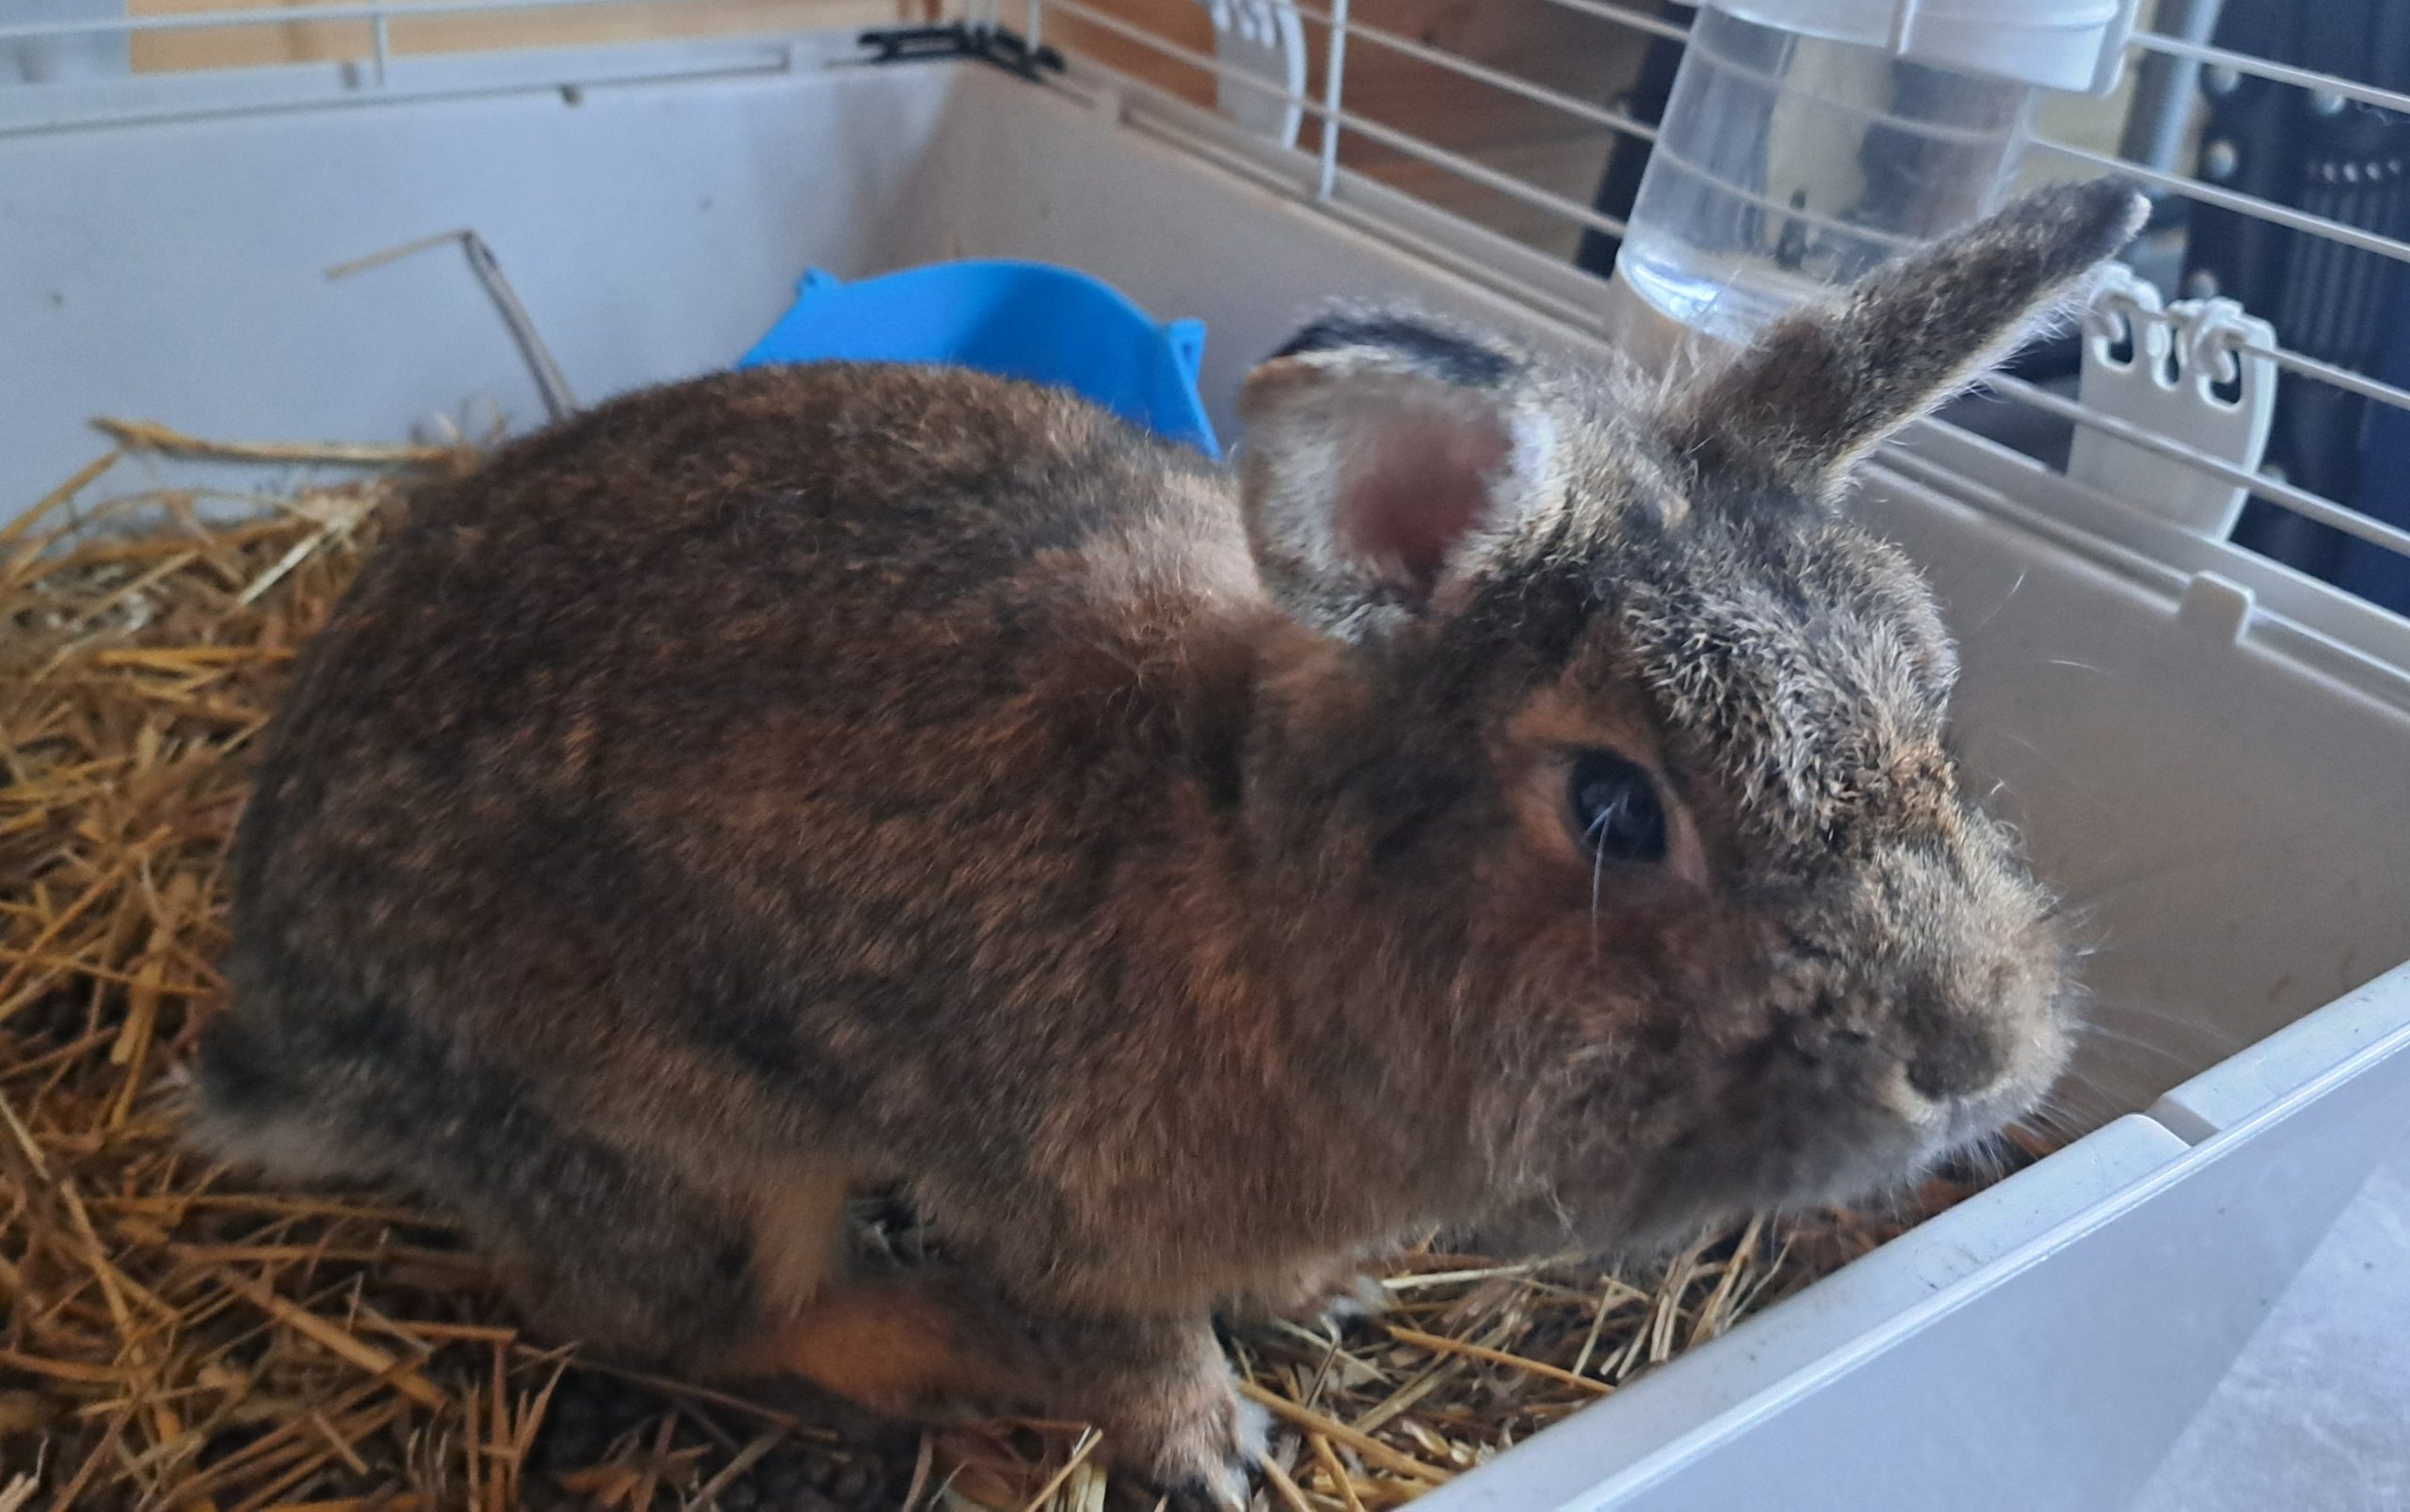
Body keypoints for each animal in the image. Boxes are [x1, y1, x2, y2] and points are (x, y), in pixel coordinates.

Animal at [192, 177, 2146, 1506]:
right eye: (1614, 808)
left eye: (1932, 710)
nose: (1977, 1056)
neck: (1257, 891)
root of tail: (285, 1031)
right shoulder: (1056, 1208)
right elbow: (1139, 1345)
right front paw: (1217, 1449)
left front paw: (1327, 1301)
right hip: (692, 1153)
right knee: (712, 1314)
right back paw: (942, 1354)